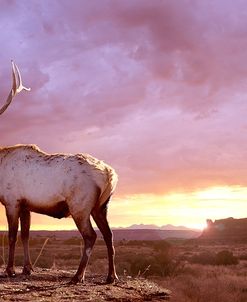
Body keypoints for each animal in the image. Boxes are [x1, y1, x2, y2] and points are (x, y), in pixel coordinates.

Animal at [0, 61, 118, 284]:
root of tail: (109, 176)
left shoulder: (12, 201)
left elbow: (11, 236)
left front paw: (10, 270)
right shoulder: (26, 204)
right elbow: (25, 235)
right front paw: (27, 268)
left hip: (80, 205)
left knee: (91, 236)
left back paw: (78, 276)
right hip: (101, 206)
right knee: (109, 234)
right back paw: (111, 276)